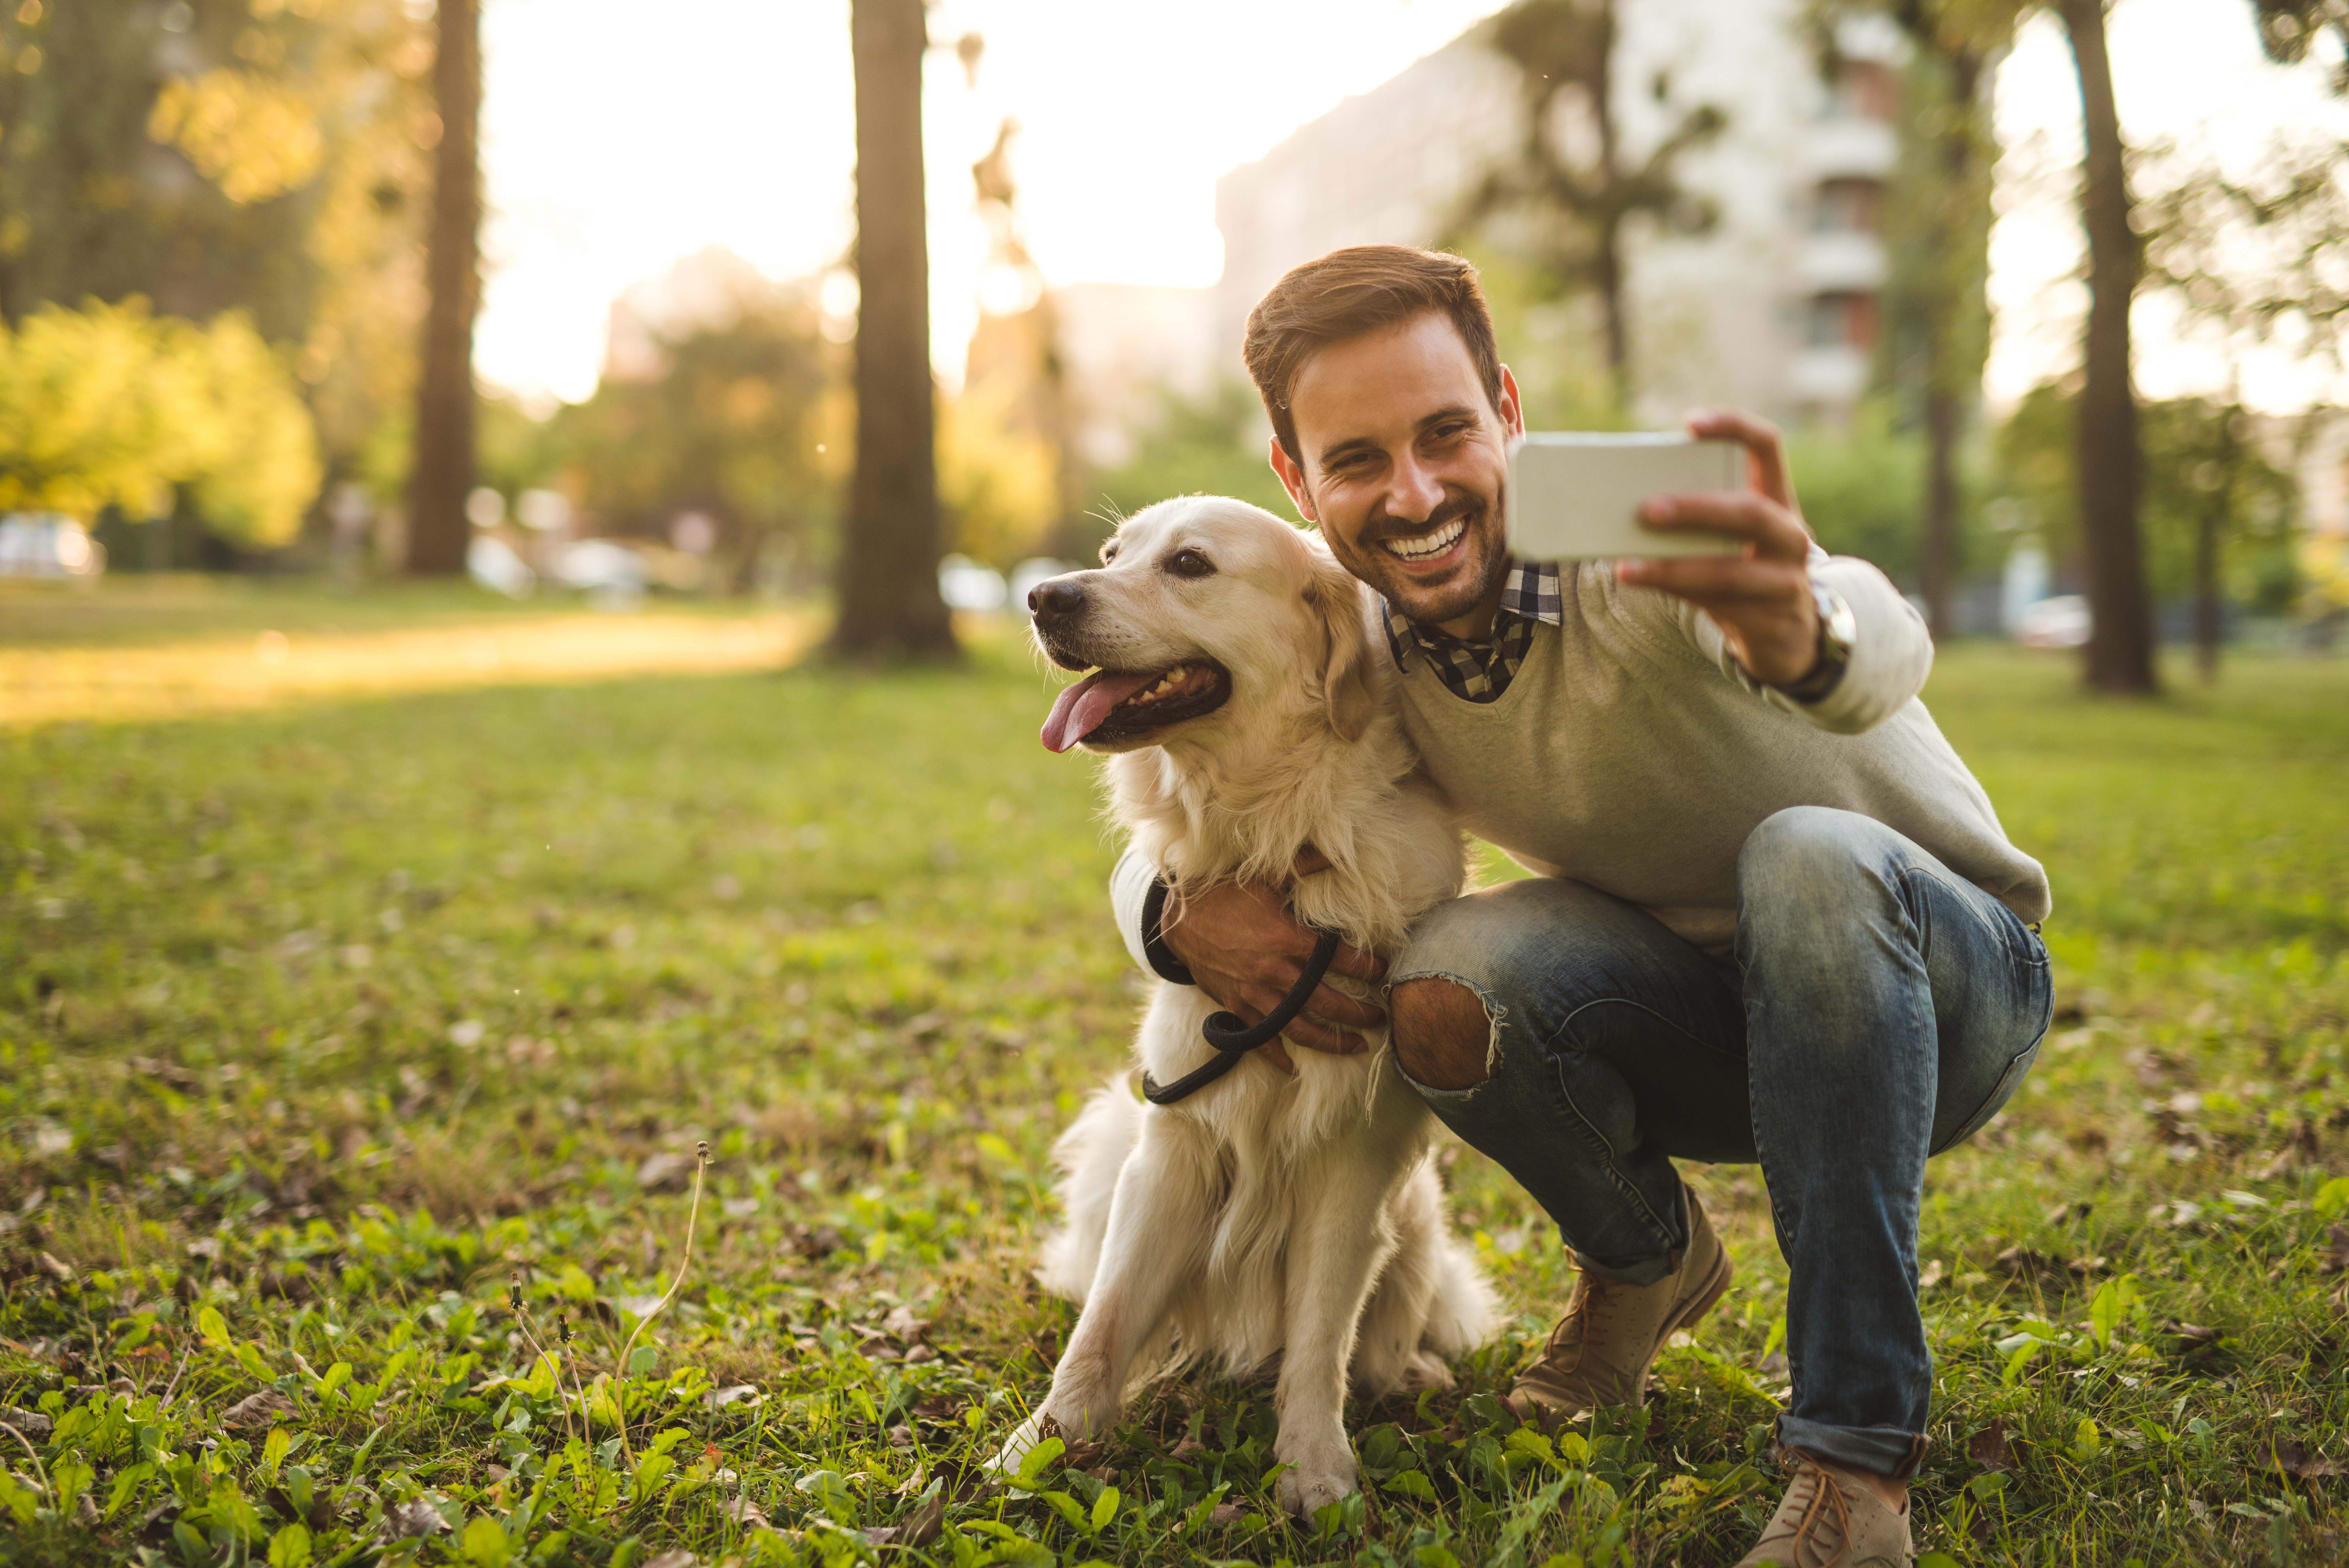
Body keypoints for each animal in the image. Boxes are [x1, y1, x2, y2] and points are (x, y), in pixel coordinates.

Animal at [1000, 495, 1494, 1511]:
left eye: (1190, 565)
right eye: (1112, 552)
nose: (1042, 596)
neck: (1276, 831)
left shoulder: (1354, 1155)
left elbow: (1319, 1335)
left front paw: (1313, 1468)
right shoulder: (1174, 1142)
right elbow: (1105, 1322)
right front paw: (1039, 1444)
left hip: (1416, 1211)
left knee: (1389, 1328)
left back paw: (1409, 1370)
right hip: (1115, 1138)